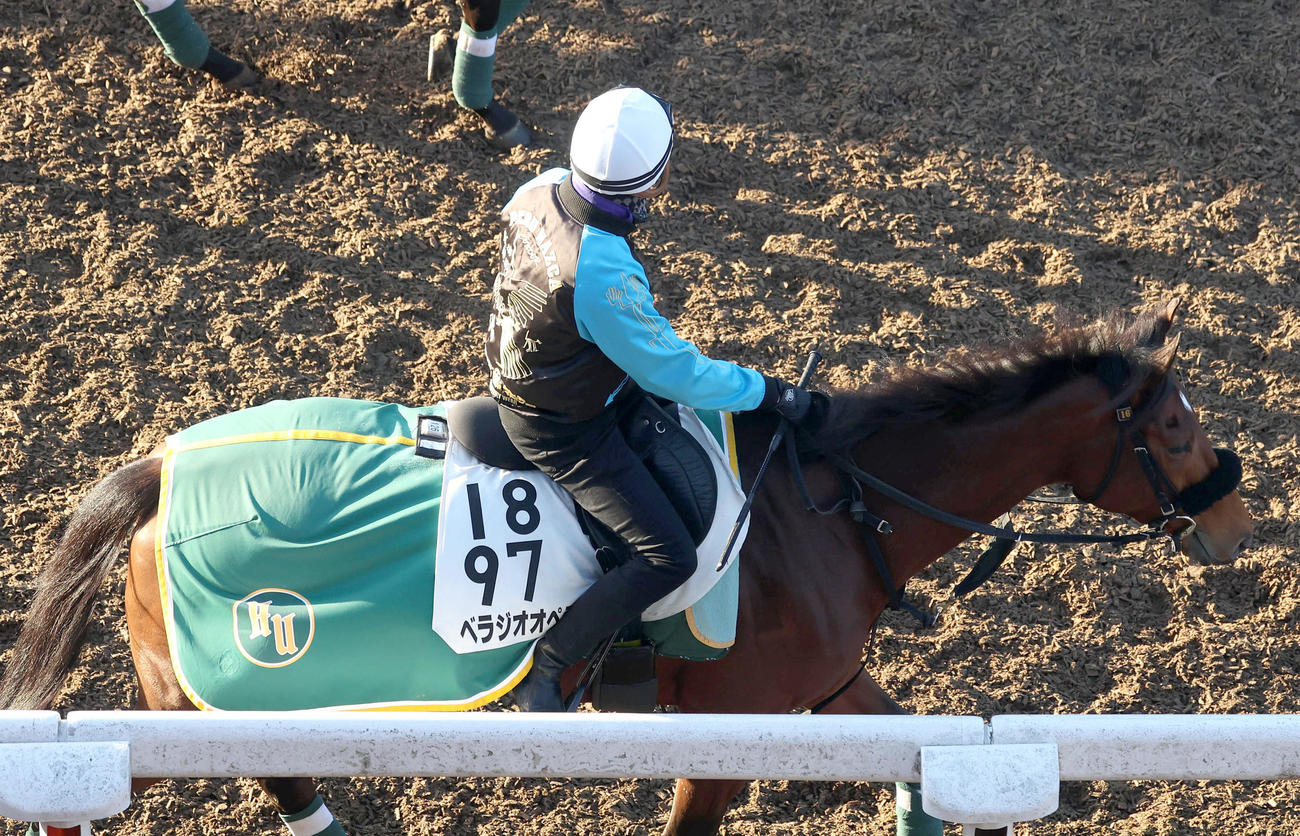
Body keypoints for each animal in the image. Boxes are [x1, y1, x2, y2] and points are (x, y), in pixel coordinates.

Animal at [0, 297, 1253, 836]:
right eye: (1175, 427)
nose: (1238, 523)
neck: (832, 502)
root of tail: (159, 466)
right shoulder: (726, 730)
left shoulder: (830, 689)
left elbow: (913, 759)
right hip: (217, 692)